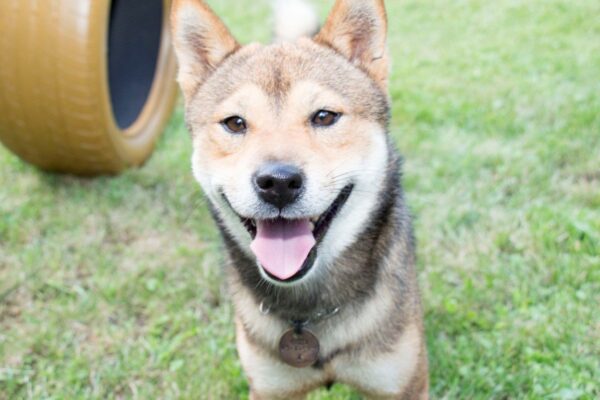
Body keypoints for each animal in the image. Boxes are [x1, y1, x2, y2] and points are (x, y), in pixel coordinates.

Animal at [171, 0, 428, 396]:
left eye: (324, 116)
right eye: (235, 123)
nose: (278, 182)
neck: (310, 313)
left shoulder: (405, 385)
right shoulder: (269, 388)